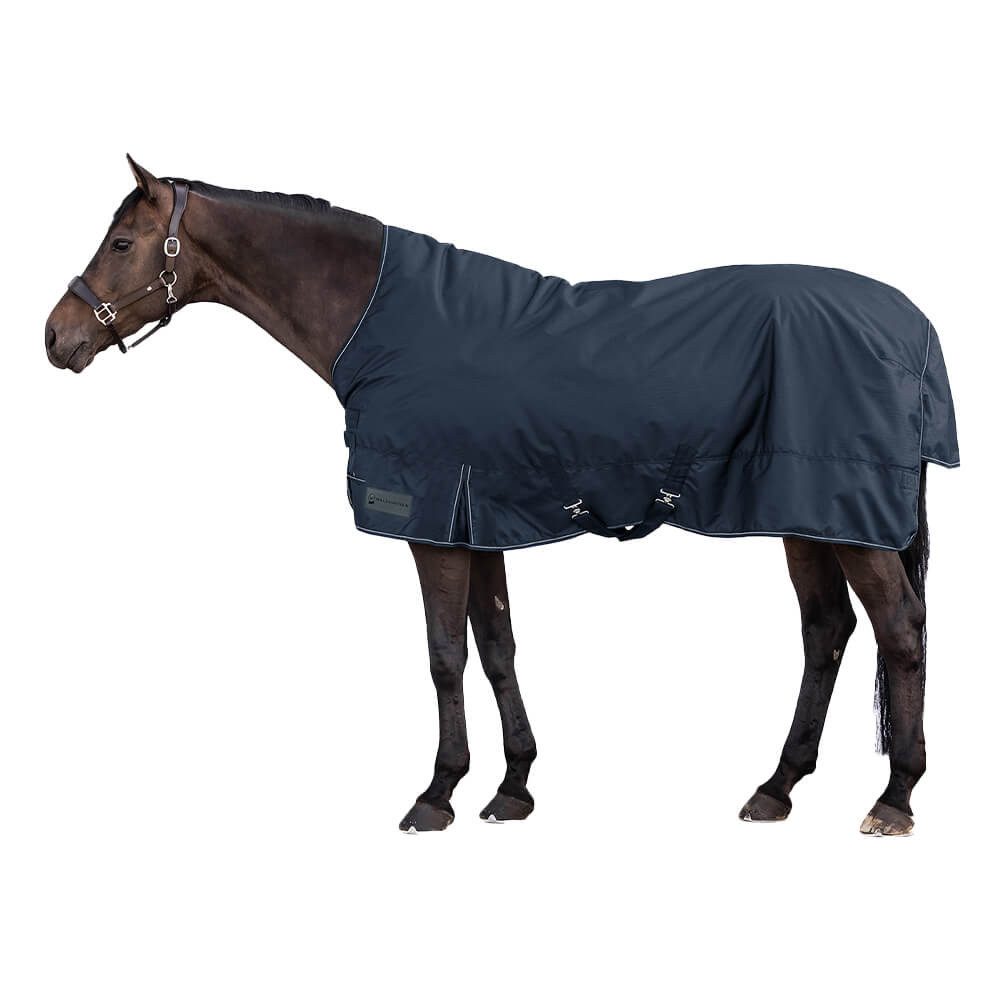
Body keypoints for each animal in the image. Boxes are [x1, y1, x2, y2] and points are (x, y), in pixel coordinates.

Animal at [45, 156, 958, 836]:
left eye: (121, 242)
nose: (56, 336)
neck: (384, 322)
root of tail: (911, 326)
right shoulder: (477, 517)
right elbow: (496, 648)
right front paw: (513, 787)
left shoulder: (434, 525)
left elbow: (445, 655)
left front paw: (437, 793)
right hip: (808, 514)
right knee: (827, 632)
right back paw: (777, 786)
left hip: (850, 522)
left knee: (900, 632)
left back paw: (894, 799)